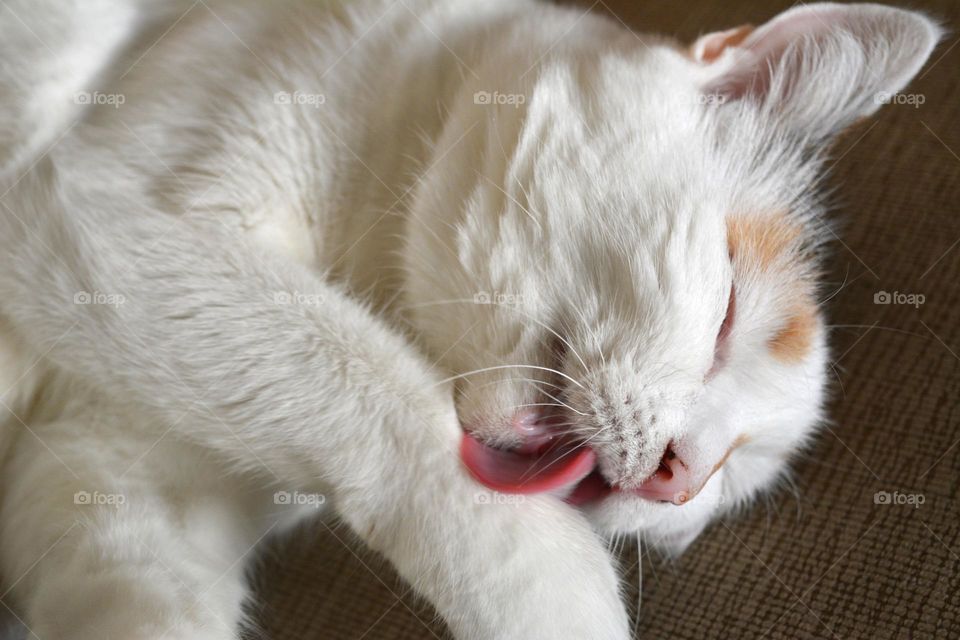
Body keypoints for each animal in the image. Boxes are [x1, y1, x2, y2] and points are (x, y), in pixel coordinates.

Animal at [0, 1, 936, 640]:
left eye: (722, 487)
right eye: (726, 319)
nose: (677, 477)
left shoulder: (104, 473)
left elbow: (147, 601)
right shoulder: (104, 213)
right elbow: (374, 393)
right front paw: (563, 604)